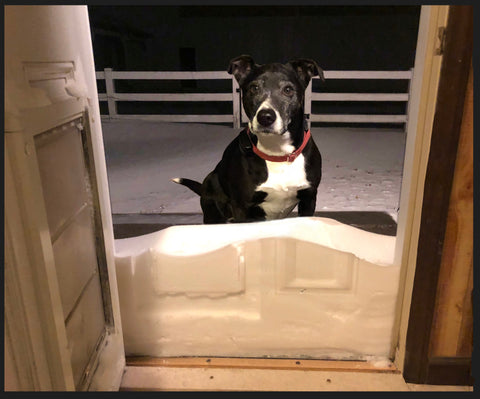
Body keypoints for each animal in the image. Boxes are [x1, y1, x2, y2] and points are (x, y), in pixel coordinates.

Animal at [171, 55, 324, 225]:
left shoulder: (309, 199)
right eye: (254, 88)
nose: (265, 117)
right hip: (212, 208)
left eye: (288, 90)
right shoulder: (242, 207)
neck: (277, 152)